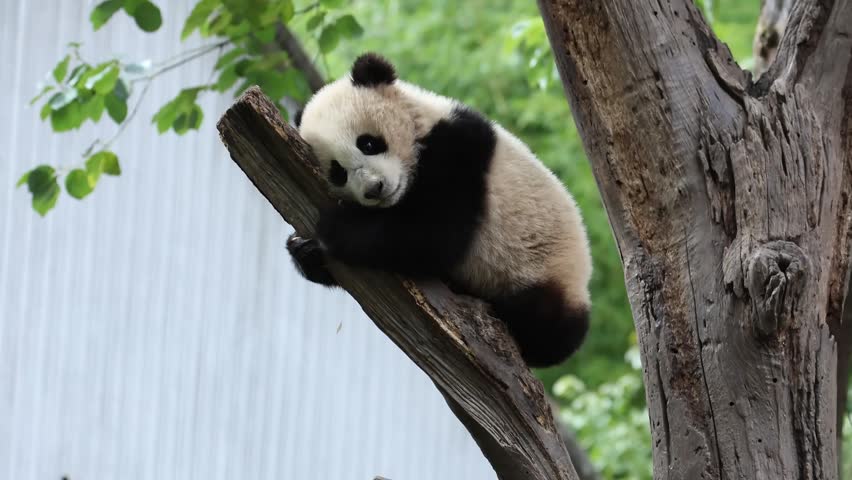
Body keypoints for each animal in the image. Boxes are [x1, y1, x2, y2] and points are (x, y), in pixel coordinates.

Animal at [287, 53, 592, 368]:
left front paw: (334, 227)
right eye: (338, 172)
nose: (374, 189)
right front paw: (304, 249)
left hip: (544, 269)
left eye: (368, 143)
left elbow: (434, 236)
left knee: (548, 327)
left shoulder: (461, 152)